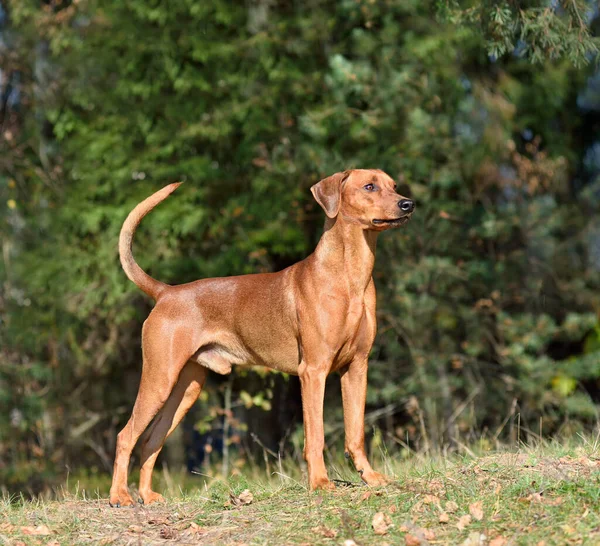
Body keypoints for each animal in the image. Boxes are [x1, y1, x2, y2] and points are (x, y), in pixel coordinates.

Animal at [109, 168, 412, 504]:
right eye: (369, 186)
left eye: (393, 186)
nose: (408, 204)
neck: (349, 275)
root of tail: (166, 292)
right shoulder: (313, 371)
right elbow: (315, 435)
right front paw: (320, 483)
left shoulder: (357, 367)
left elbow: (356, 432)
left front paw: (369, 477)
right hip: (160, 377)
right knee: (126, 436)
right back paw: (119, 495)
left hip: (186, 387)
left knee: (151, 439)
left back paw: (147, 495)